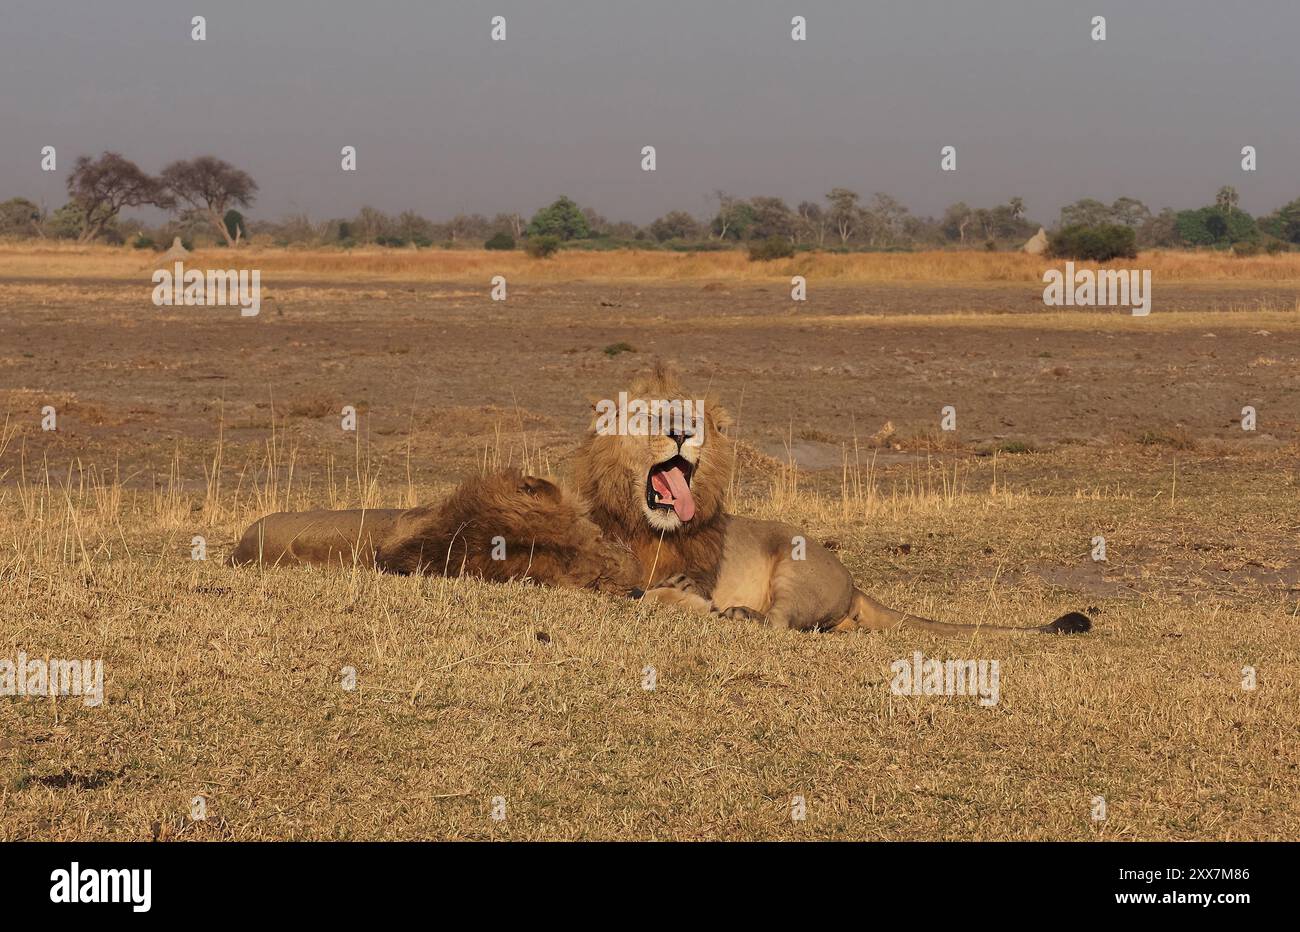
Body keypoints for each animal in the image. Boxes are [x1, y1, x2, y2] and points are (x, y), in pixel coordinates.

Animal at [574, 361, 1092, 631]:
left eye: (693, 418)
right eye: (649, 417)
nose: (683, 433)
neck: (649, 527)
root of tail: (854, 582)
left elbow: (652, 596)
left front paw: (684, 598)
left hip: (795, 569)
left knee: (779, 623)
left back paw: (739, 613)